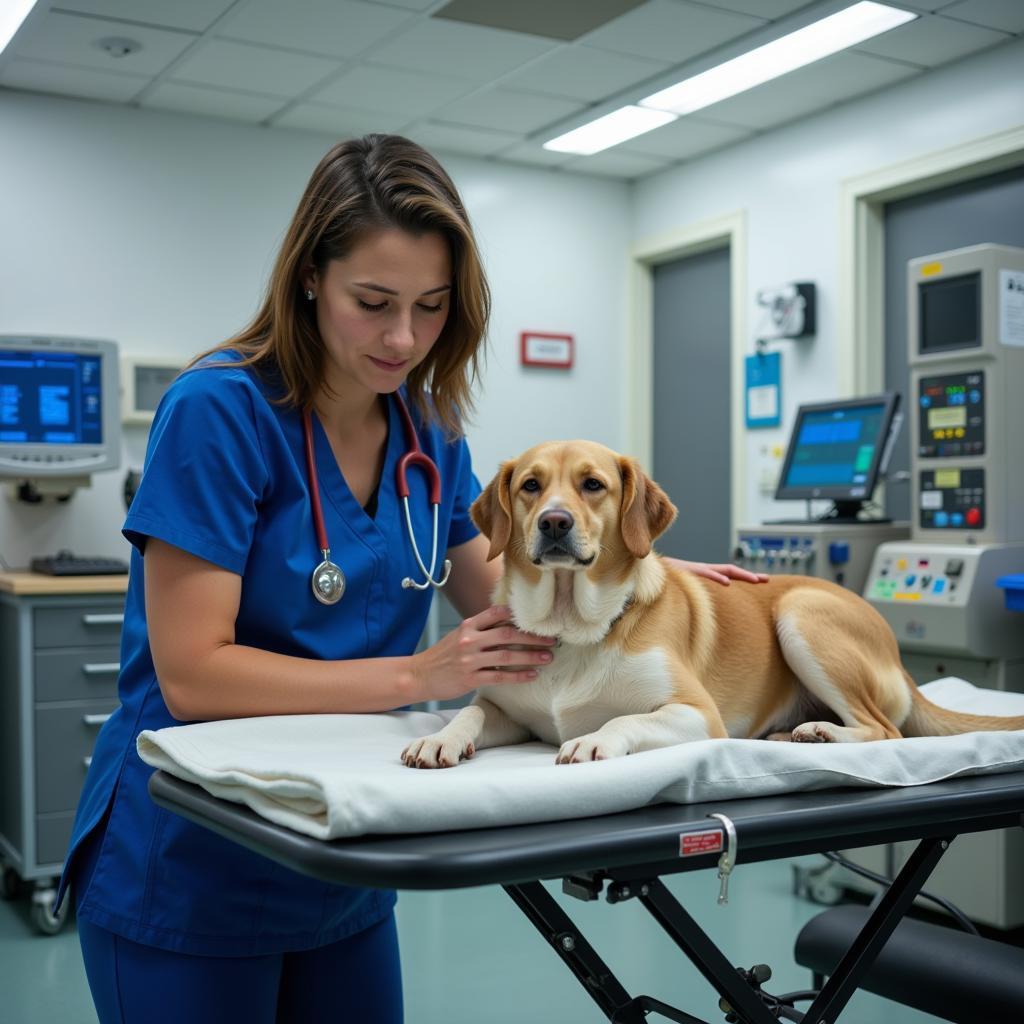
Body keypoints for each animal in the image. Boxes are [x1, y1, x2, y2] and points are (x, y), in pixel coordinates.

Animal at [399, 440, 1024, 770]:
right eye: (530, 485)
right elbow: (473, 711)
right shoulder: (505, 708)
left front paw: (596, 738)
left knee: (886, 731)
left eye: (593, 485)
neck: (573, 628)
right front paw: (440, 736)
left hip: (801, 616)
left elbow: (627, 717)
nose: (554, 522)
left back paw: (820, 735)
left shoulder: (697, 714)